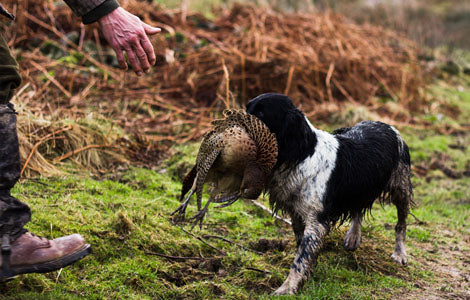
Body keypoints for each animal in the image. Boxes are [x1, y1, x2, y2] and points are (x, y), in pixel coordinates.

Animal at [246, 94, 412, 296]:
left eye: (261, 113)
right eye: (247, 108)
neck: (301, 155)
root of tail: (386, 124)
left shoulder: (316, 221)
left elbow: (300, 259)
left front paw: (287, 288)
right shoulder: (298, 214)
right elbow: (302, 249)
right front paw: (307, 276)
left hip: (401, 187)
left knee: (401, 224)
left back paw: (399, 253)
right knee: (358, 207)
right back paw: (353, 237)